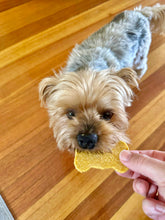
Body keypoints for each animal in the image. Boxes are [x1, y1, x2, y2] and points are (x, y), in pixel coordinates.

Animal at [39, 4, 165, 153]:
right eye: (70, 113)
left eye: (108, 115)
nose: (87, 139)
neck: (89, 67)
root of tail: (141, 13)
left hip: (141, 54)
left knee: (141, 66)